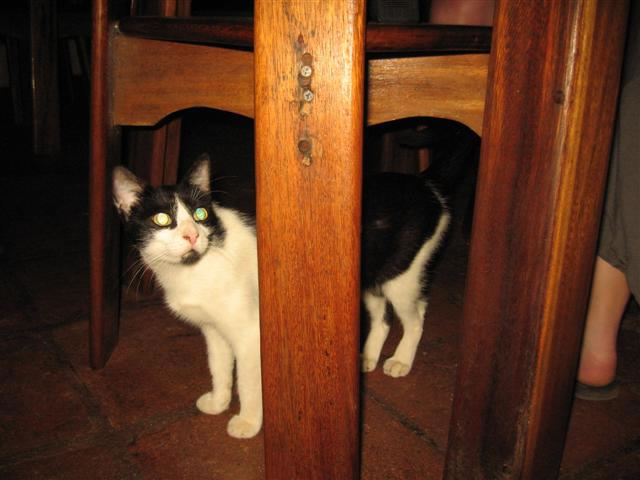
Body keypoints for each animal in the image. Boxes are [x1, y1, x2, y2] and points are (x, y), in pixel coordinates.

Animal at [112, 123, 475, 439]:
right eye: (162, 219)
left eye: (200, 215)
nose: (191, 235)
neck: (197, 267)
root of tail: (424, 184)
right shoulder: (213, 330)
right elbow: (218, 365)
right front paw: (218, 401)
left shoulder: (251, 334)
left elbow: (248, 381)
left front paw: (248, 421)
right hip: (368, 274)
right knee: (384, 315)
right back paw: (368, 355)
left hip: (403, 274)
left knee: (416, 315)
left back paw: (400, 359)